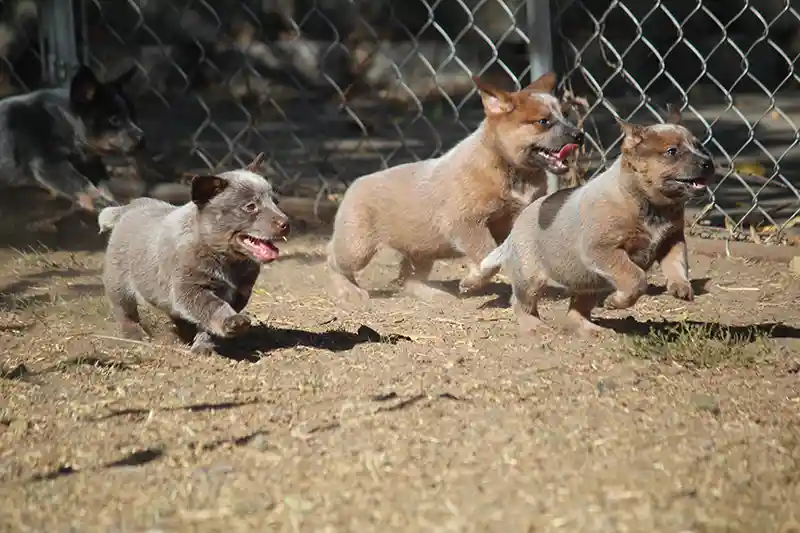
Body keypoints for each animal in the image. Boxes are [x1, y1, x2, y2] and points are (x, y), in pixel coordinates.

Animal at [0, 67, 142, 214]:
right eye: (114, 120)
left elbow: (102, 186)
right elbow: (82, 184)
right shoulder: (49, 163)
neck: (63, 121)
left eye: (131, 116)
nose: (141, 137)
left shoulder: (87, 164)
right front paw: (105, 205)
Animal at [98, 153, 290, 354]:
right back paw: (135, 334)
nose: (286, 223)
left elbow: (206, 321)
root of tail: (129, 207)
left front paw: (203, 342)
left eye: (276, 202)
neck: (227, 260)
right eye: (250, 206)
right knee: (124, 311)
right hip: (118, 284)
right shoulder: (190, 289)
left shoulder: (241, 292)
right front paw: (228, 324)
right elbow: (213, 306)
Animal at [328, 72, 584, 302]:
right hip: (357, 247)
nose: (579, 135)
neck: (511, 170)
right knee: (333, 259)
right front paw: (472, 282)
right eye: (543, 122)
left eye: (565, 115)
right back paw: (348, 291)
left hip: (421, 249)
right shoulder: (465, 223)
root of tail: (355, 184)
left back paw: (434, 295)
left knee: (409, 279)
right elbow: (486, 256)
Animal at [472, 107, 716, 332]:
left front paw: (680, 286)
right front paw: (617, 301)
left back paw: (588, 329)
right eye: (672, 151)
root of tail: (515, 230)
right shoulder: (603, 250)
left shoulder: (672, 239)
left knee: (575, 310)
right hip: (531, 277)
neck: (648, 204)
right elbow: (636, 278)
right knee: (520, 302)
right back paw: (533, 326)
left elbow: (677, 263)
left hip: (590, 285)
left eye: (700, 146)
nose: (708, 162)